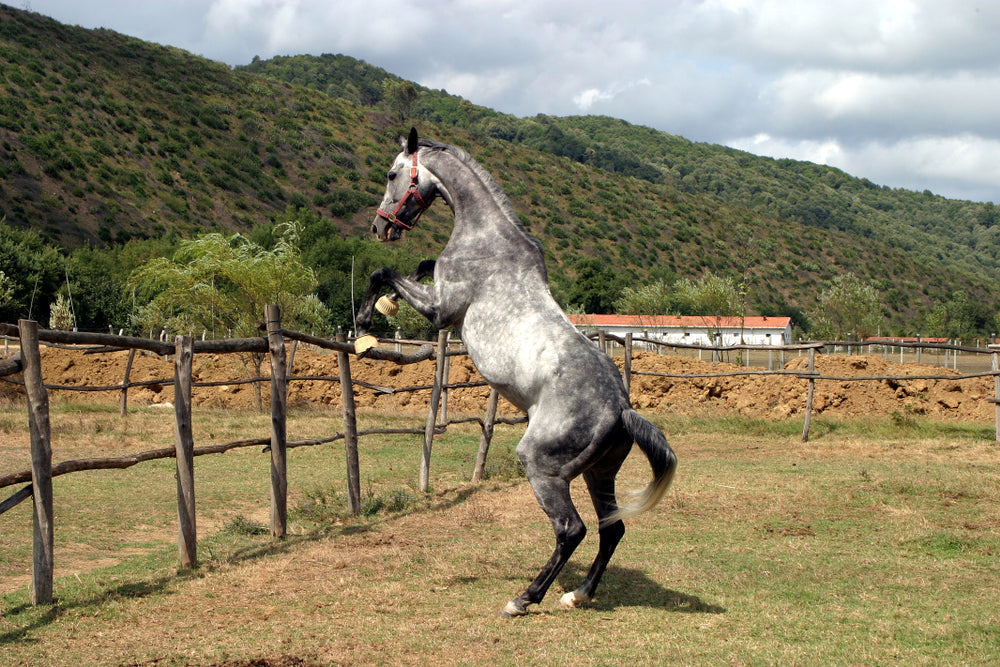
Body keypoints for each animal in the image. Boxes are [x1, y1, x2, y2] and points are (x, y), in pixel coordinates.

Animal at [356, 128, 677, 617]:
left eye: (392, 174)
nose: (380, 227)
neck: (486, 237)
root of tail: (622, 409)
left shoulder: (441, 311)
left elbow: (384, 273)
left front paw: (364, 321)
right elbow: (417, 267)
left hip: (543, 468)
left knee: (572, 529)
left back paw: (524, 598)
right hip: (598, 473)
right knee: (611, 528)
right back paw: (578, 594)